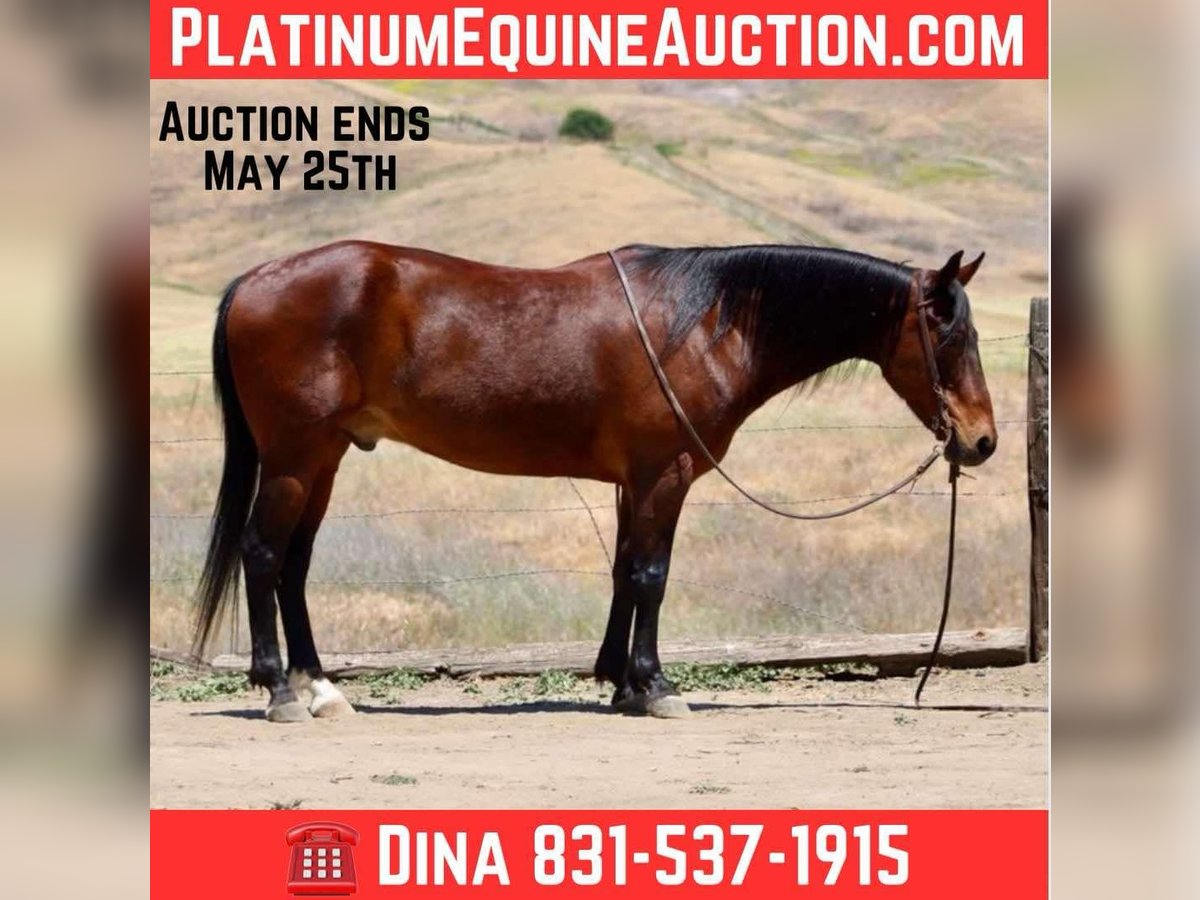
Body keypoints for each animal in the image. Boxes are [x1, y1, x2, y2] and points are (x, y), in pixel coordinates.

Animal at [194, 241, 996, 722]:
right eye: (951, 336)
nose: (983, 441)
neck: (702, 324)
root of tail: (253, 281)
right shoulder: (664, 474)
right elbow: (651, 576)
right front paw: (655, 686)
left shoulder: (632, 481)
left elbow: (623, 572)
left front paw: (619, 681)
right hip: (295, 459)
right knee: (263, 556)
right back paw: (279, 689)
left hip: (322, 459)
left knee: (293, 567)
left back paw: (320, 687)